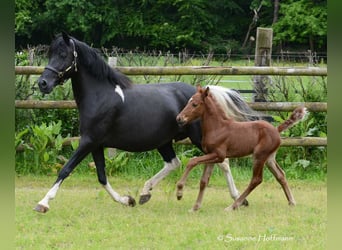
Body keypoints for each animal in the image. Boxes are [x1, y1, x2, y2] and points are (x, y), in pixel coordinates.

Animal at [35, 31, 262, 213]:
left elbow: (66, 169)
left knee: (223, 162)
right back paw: (145, 193)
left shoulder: (88, 141)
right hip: (164, 141)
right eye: (50, 53)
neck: (101, 96)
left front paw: (43, 203)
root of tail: (204, 93)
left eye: (63, 54)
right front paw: (128, 200)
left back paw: (238, 199)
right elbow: (101, 176)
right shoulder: (96, 144)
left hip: (197, 138)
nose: (43, 83)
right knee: (174, 162)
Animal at [176, 86, 308, 211]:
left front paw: (179, 192)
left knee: (256, 179)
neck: (218, 127)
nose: (179, 118)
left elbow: (192, 161)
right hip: (269, 158)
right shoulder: (211, 155)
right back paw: (292, 202)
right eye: (188, 102)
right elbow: (204, 181)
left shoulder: (219, 155)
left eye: (195, 104)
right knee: (280, 175)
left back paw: (233, 206)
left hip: (259, 156)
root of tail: (276, 130)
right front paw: (195, 207)